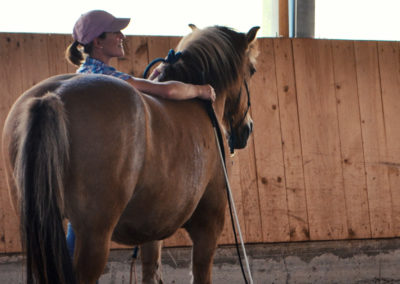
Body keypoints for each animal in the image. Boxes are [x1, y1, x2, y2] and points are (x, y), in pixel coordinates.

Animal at [1, 25, 260, 284]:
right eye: (252, 70)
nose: (247, 129)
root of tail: (52, 96)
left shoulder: (152, 229)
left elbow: (151, 271)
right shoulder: (208, 224)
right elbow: (200, 274)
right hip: (93, 234)